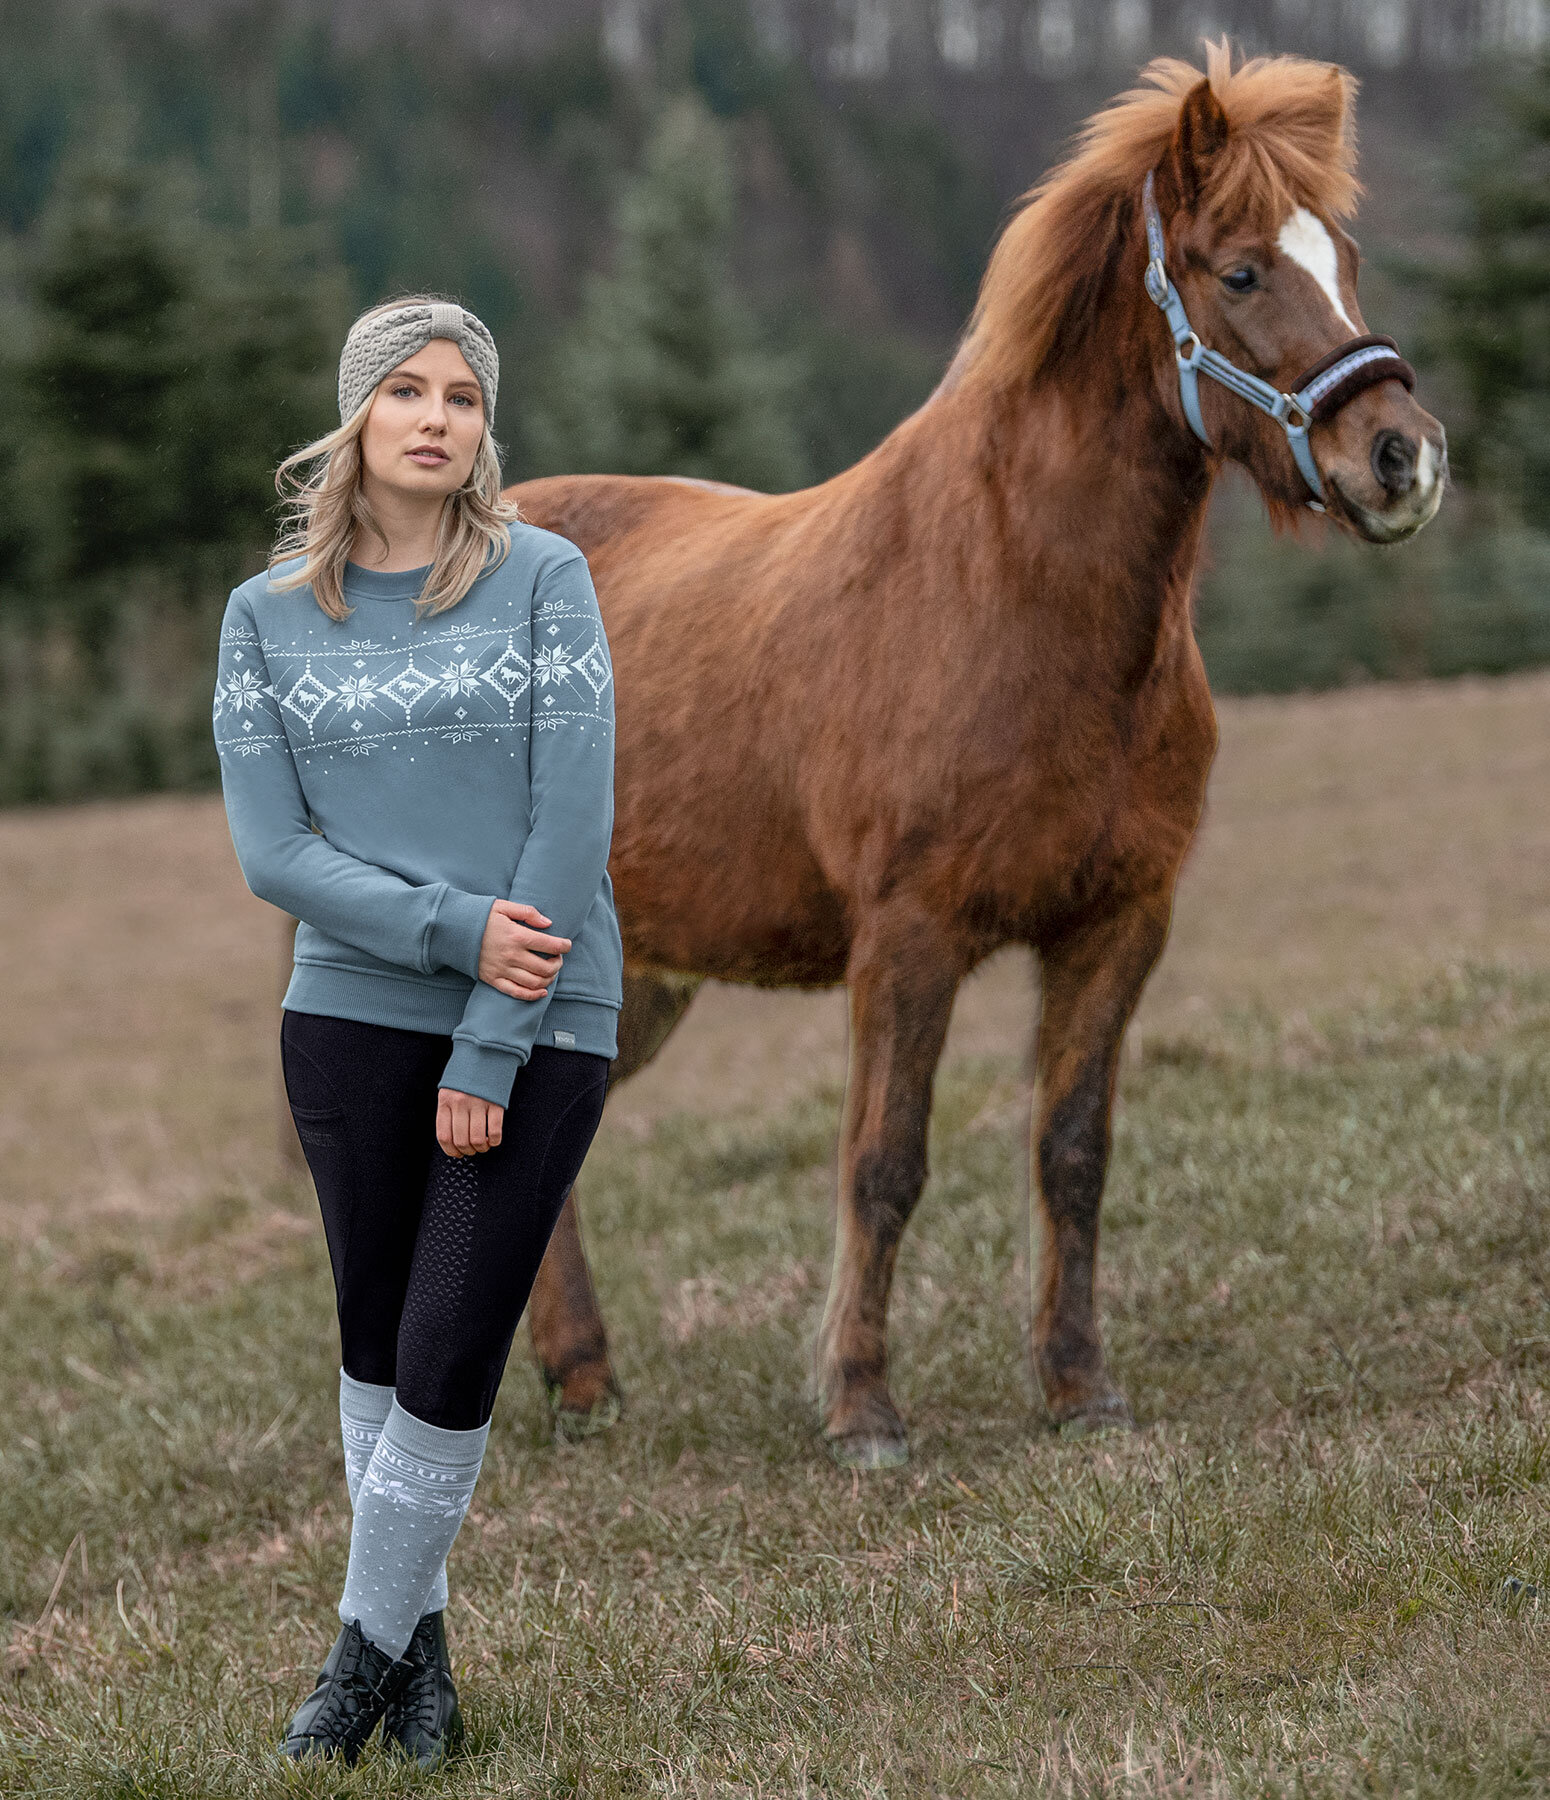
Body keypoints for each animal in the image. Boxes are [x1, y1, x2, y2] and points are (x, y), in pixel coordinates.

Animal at [507, 49, 1440, 1468]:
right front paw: (861, 1410)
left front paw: (1076, 1387)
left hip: (633, 978)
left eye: (1337, 252)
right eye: (1237, 272)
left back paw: (583, 1382)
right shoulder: (909, 938)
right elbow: (883, 1164)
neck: (1009, 597)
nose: (1399, 458)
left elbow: (1073, 1155)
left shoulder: (1117, 925)